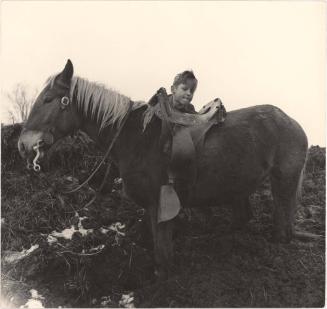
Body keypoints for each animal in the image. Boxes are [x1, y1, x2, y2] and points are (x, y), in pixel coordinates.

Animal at [18, 59, 310, 278]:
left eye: (48, 99)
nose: (23, 145)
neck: (135, 137)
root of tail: (293, 122)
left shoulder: (160, 204)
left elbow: (162, 257)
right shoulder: (151, 207)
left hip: (283, 185)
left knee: (282, 226)